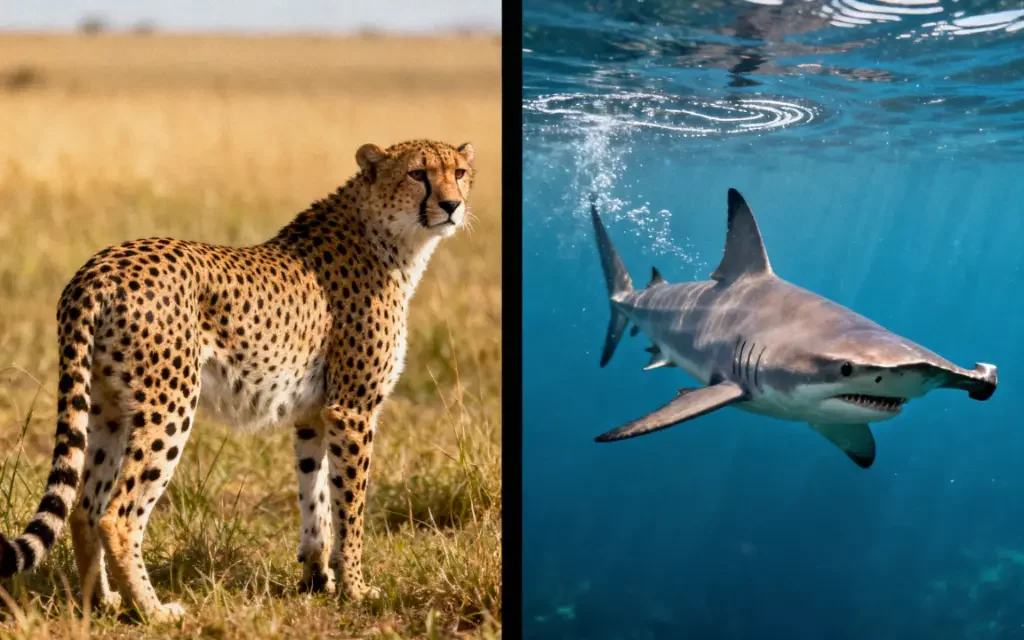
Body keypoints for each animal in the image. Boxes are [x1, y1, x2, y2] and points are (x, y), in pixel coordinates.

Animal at [0, 139, 476, 622]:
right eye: (417, 174)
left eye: (458, 172)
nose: (452, 205)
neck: (384, 232)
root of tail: (98, 268)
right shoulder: (353, 411)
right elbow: (351, 507)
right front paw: (356, 589)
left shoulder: (314, 414)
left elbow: (316, 496)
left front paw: (317, 578)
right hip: (170, 405)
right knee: (117, 515)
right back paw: (154, 611)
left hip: (109, 407)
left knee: (84, 507)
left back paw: (101, 601)